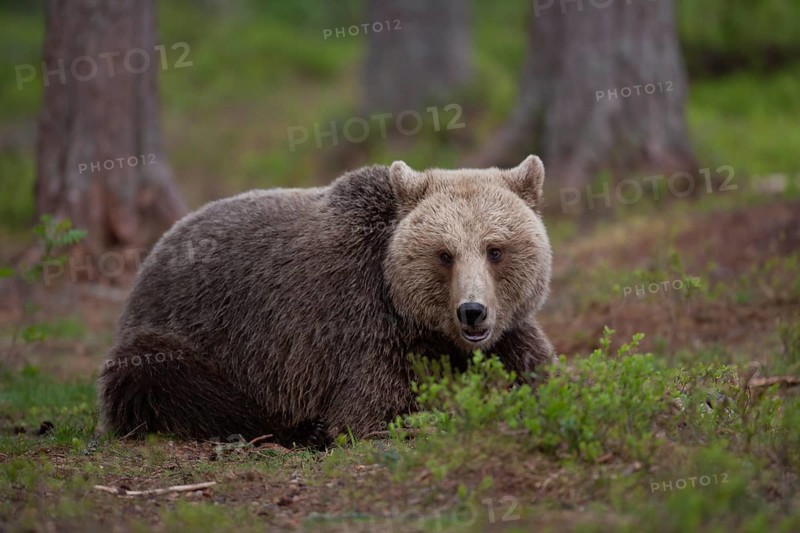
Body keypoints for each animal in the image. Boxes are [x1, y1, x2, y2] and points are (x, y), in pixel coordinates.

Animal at [97, 155, 555, 447]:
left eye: (495, 249)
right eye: (445, 254)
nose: (472, 311)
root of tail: (155, 253)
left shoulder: (506, 332)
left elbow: (537, 372)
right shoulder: (367, 330)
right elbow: (372, 414)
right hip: (179, 335)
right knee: (177, 385)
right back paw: (301, 430)